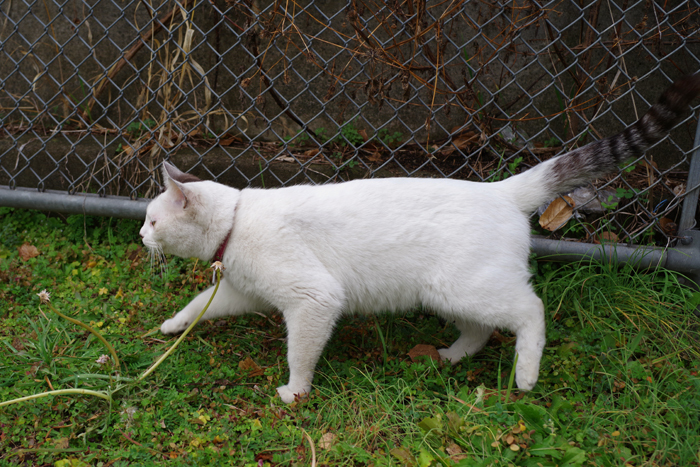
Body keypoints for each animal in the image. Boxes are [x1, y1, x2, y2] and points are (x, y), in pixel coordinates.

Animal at [141, 75, 700, 404]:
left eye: (151, 219)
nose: (141, 235)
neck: (236, 223)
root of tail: (500, 190)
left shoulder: (313, 298)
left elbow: (300, 355)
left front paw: (295, 393)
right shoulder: (244, 291)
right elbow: (198, 306)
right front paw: (171, 326)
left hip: (465, 288)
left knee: (530, 311)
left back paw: (525, 376)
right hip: (447, 296)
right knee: (481, 331)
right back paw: (450, 357)